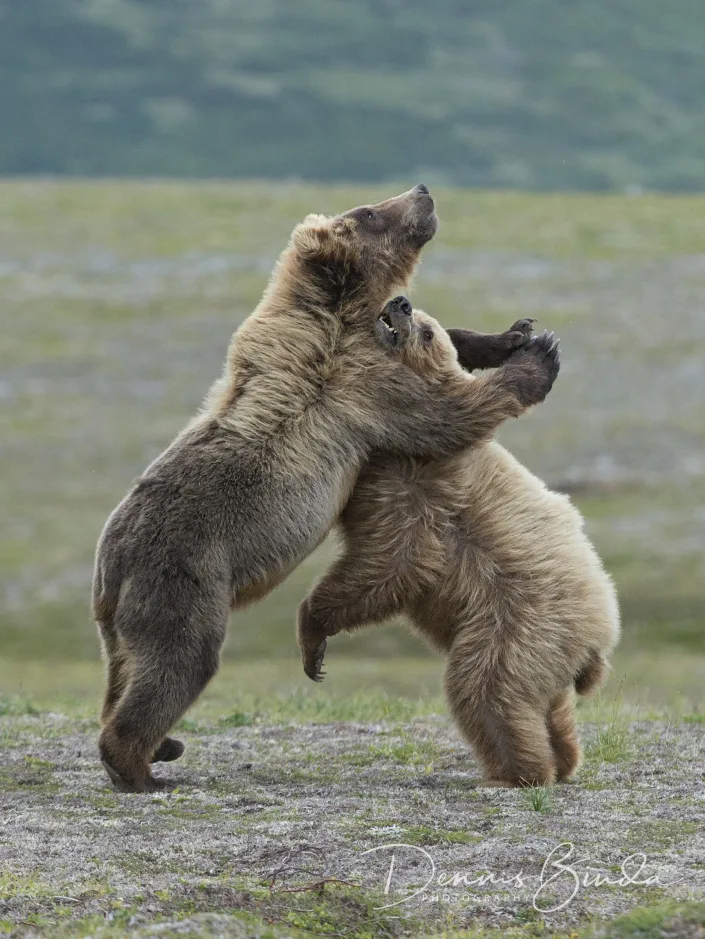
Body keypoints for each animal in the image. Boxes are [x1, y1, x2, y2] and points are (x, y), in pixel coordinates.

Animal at [92, 186, 564, 793]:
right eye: (370, 213)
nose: (423, 191)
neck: (339, 312)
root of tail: (109, 567)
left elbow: (446, 348)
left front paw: (513, 333)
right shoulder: (358, 379)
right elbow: (443, 411)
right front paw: (538, 357)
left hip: (124, 614)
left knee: (124, 669)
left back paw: (161, 747)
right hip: (184, 579)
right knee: (178, 662)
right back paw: (142, 767)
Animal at [297, 296, 620, 788]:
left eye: (427, 330)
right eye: (425, 318)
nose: (401, 303)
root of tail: (599, 640)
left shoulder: (419, 491)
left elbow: (391, 565)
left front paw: (313, 633)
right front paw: (514, 337)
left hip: (516, 626)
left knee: (485, 688)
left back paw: (516, 771)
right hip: (543, 651)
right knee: (551, 704)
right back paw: (563, 757)